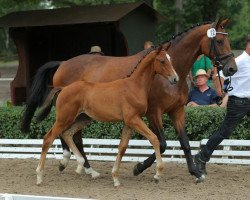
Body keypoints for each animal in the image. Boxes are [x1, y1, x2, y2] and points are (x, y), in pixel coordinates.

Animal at [36, 45, 179, 186]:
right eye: (162, 61)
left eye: (170, 59)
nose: (175, 78)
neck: (135, 86)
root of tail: (63, 88)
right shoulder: (133, 119)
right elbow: (154, 138)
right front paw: (157, 174)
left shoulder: (128, 123)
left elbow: (122, 147)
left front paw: (115, 178)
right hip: (64, 119)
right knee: (48, 138)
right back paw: (40, 176)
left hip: (83, 119)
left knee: (67, 134)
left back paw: (81, 165)